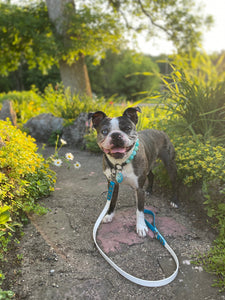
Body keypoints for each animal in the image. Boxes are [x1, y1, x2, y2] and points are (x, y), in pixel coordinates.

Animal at [89, 106, 178, 238]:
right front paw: (109, 215)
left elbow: (140, 210)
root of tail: (160, 131)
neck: (120, 163)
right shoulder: (113, 183)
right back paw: (149, 190)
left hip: (169, 164)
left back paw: (174, 201)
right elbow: (112, 201)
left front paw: (141, 227)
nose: (116, 135)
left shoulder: (139, 188)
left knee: (175, 182)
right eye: (104, 131)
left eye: (127, 128)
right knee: (151, 175)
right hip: (148, 164)